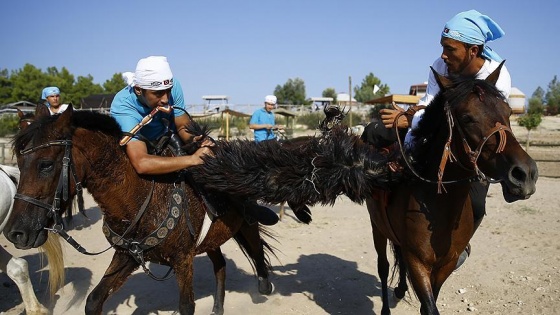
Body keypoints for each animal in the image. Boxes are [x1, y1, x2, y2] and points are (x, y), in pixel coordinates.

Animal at [3, 107, 276, 315]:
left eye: (46, 164)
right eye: (19, 163)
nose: (15, 233)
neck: (143, 196)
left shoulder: (182, 259)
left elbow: (186, 306)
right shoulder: (129, 255)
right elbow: (94, 300)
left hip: (244, 223)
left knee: (256, 246)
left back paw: (264, 285)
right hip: (211, 239)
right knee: (220, 265)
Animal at [366, 63, 540, 314]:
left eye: (508, 113)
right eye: (467, 118)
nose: (525, 174)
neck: (439, 210)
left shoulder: (445, 264)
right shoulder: (418, 262)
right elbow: (428, 305)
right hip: (377, 227)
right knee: (383, 265)